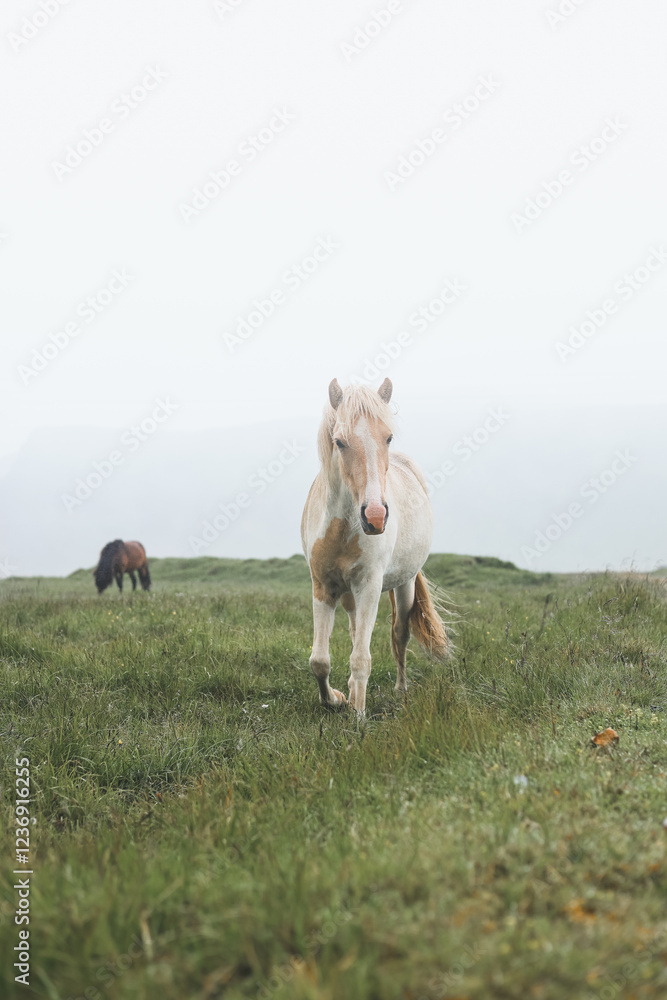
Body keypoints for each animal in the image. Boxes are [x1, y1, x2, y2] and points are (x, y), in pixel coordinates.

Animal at [301, 378, 449, 715]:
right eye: (339, 442)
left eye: (388, 437)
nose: (375, 517)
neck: (344, 529)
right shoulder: (323, 587)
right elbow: (319, 661)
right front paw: (335, 699)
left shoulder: (369, 585)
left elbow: (361, 658)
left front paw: (357, 716)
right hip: (350, 596)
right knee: (357, 632)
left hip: (405, 584)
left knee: (399, 635)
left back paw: (401, 690)